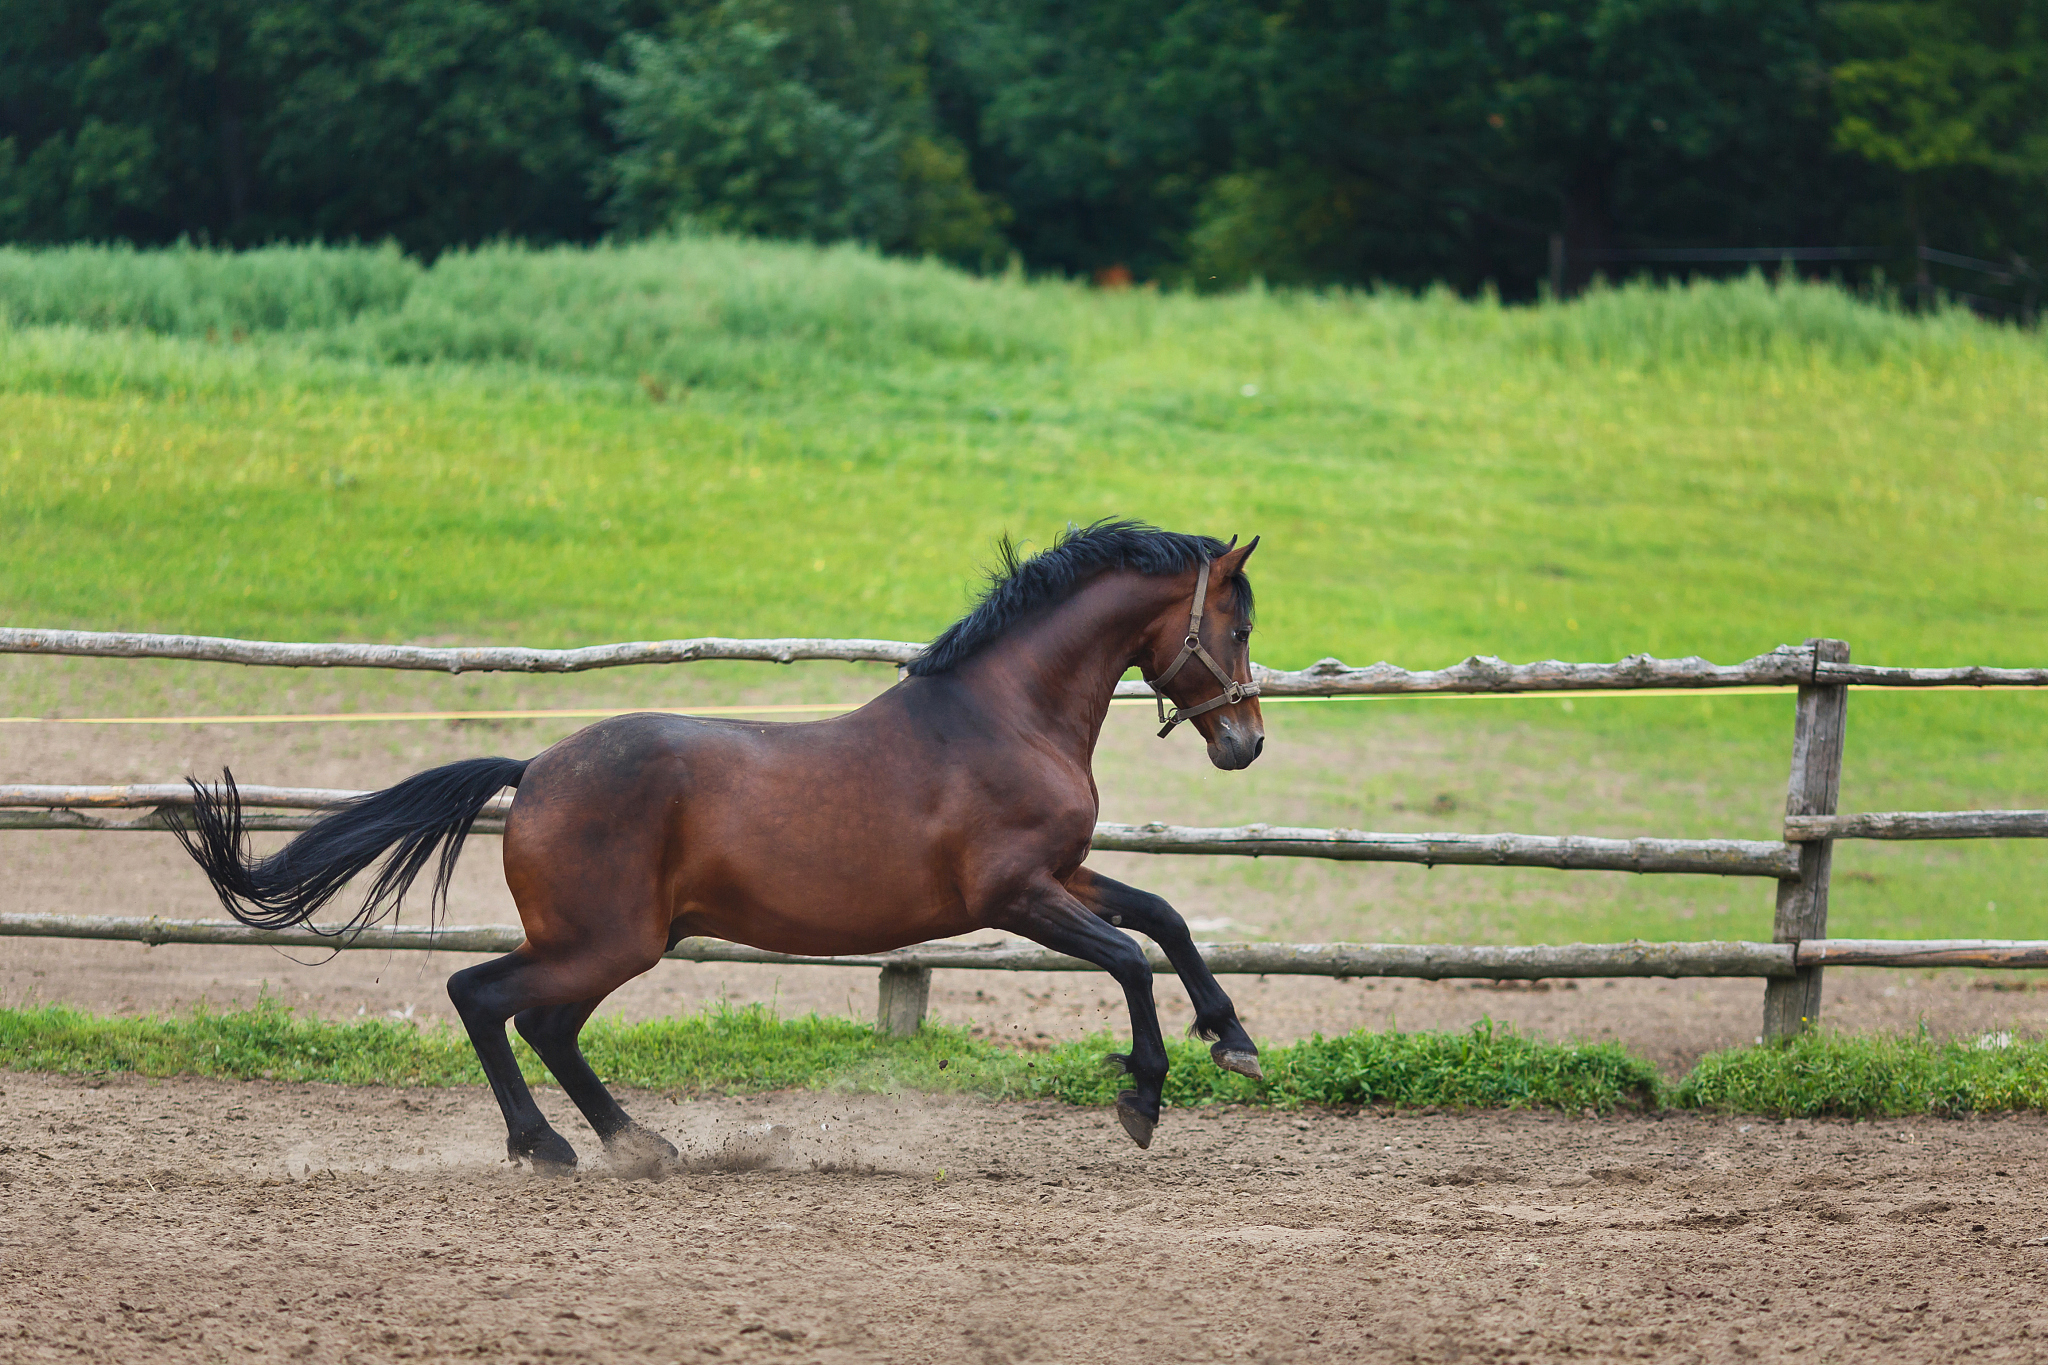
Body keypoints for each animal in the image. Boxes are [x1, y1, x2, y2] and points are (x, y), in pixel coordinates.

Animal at [174, 521, 1267, 1175]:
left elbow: (1164, 919)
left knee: (546, 1025)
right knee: (482, 998)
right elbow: (1129, 957)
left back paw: (636, 1142)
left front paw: (1234, 1040)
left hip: (619, 944)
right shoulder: (1016, 895)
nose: (1245, 743)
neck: (1004, 716)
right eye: (1237, 623)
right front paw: (1143, 1094)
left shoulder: (1063, 874)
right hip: (603, 940)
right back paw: (548, 1147)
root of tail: (534, 768)